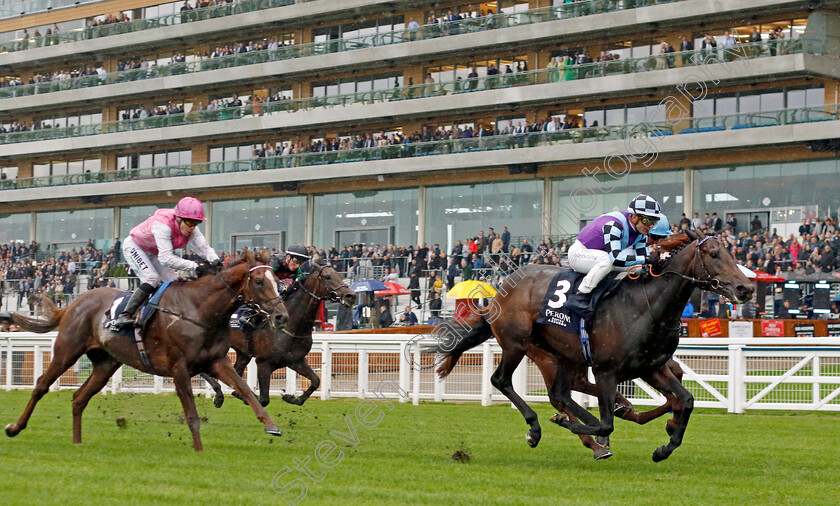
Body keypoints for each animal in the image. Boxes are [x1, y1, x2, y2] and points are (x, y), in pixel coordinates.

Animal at [5, 249, 288, 450]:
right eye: (259, 281)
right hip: (67, 350)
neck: (199, 309)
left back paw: (77, 442)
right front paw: (198, 450)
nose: (282, 316)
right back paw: (15, 427)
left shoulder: (217, 361)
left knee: (79, 398)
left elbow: (246, 390)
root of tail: (74, 303)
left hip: (106, 363)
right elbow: (191, 413)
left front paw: (271, 425)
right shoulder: (179, 368)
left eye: (278, 280)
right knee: (41, 385)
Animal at [202, 258, 356, 410]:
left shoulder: (295, 360)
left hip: (243, 354)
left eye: (340, 275)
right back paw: (218, 394)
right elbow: (263, 400)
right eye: (327, 276)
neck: (292, 325)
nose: (351, 296)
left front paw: (291, 398)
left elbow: (316, 380)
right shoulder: (263, 363)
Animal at [430, 233, 752, 462]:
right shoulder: (606, 370)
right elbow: (607, 423)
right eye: (714, 254)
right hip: (518, 344)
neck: (647, 305)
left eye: (731, 253)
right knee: (502, 380)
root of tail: (498, 292)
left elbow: (686, 401)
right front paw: (581, 426)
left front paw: (664, 447)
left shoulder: (652, 367)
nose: (745, 288)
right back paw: (540, 428)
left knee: (560, 393)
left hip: (562, 355)